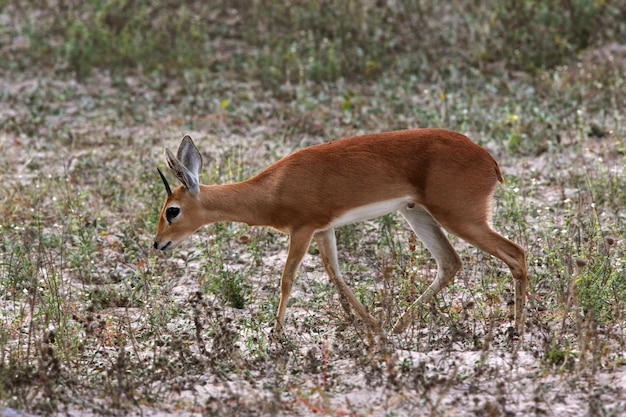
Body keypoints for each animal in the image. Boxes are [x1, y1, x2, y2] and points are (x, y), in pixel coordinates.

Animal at [154, 128, 524, 334]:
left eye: (172, 210)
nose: (158, 244)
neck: (272, 189)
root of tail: (487, 159)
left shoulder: (302, 230)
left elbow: (287, 279)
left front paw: (275, 335)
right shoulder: (323, 231)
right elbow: (337, 276)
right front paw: (372, 325)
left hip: (462, 218)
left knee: (516, 254)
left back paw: (518, 331)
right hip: (417, 213)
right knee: (450, 263)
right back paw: (398, 325)